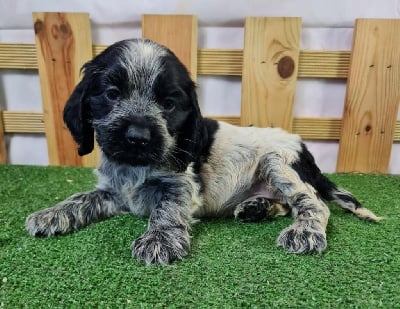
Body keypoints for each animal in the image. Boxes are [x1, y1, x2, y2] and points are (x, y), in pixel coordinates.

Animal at [25, 38, 382, 264]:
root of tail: (306, 150)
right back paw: (258, 208)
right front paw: (51, 213)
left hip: (277, 162)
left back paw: (304, 231)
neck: (135, 166)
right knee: (287, 203)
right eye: (112, 94)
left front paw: (160, 239)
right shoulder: (114, 191)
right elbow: (80, 198)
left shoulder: (180, 185)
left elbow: (167, 209)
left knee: (312, 203)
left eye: (169, 104)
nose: (138, 136)